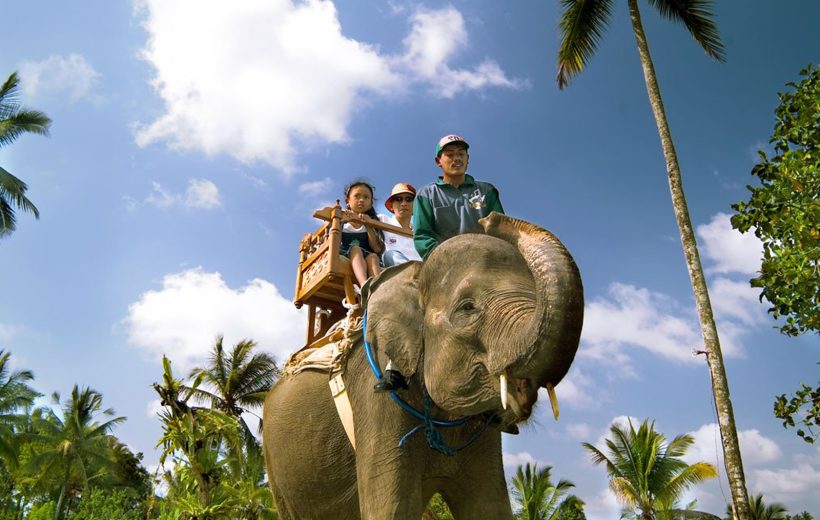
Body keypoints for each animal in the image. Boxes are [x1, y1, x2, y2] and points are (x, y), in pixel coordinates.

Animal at [263, 212, 584, 519]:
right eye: (467, 308)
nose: (489, 218)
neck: (412, 279)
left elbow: (489, 508)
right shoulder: (373, 395)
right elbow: (391, 507)